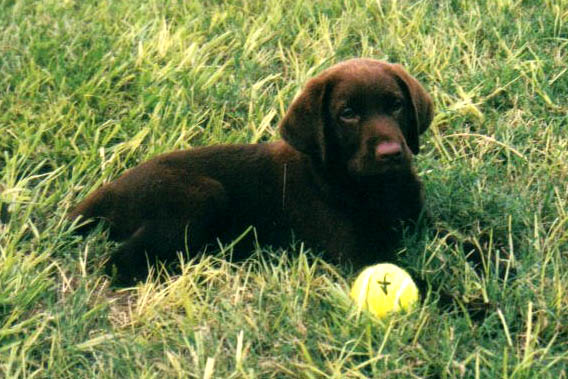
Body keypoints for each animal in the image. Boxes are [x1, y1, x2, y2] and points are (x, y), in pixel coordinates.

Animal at [69, 59, 432, 284]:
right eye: (348, 114)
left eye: (396, 105)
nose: (391, 153)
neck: (377, 189)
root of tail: (110, 189)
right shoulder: (359, 254)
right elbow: (424, 285)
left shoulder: (419, 221)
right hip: (201, 196)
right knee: (118, 263)